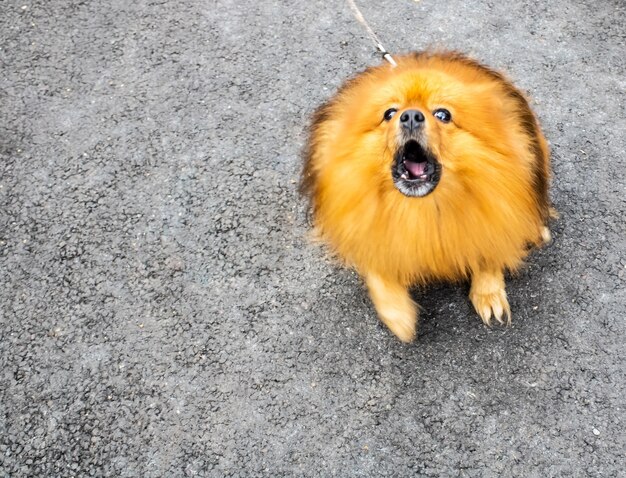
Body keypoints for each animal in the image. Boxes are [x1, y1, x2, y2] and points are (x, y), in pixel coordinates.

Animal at [302, 51, 552, 344]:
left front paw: (488, 294)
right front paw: (399, 315)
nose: (410, 115)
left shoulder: (498, 208)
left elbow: (490, 250)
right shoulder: (361, 226)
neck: (424, 206)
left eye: (442, 114)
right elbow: (378, 271)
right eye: (389, 113)